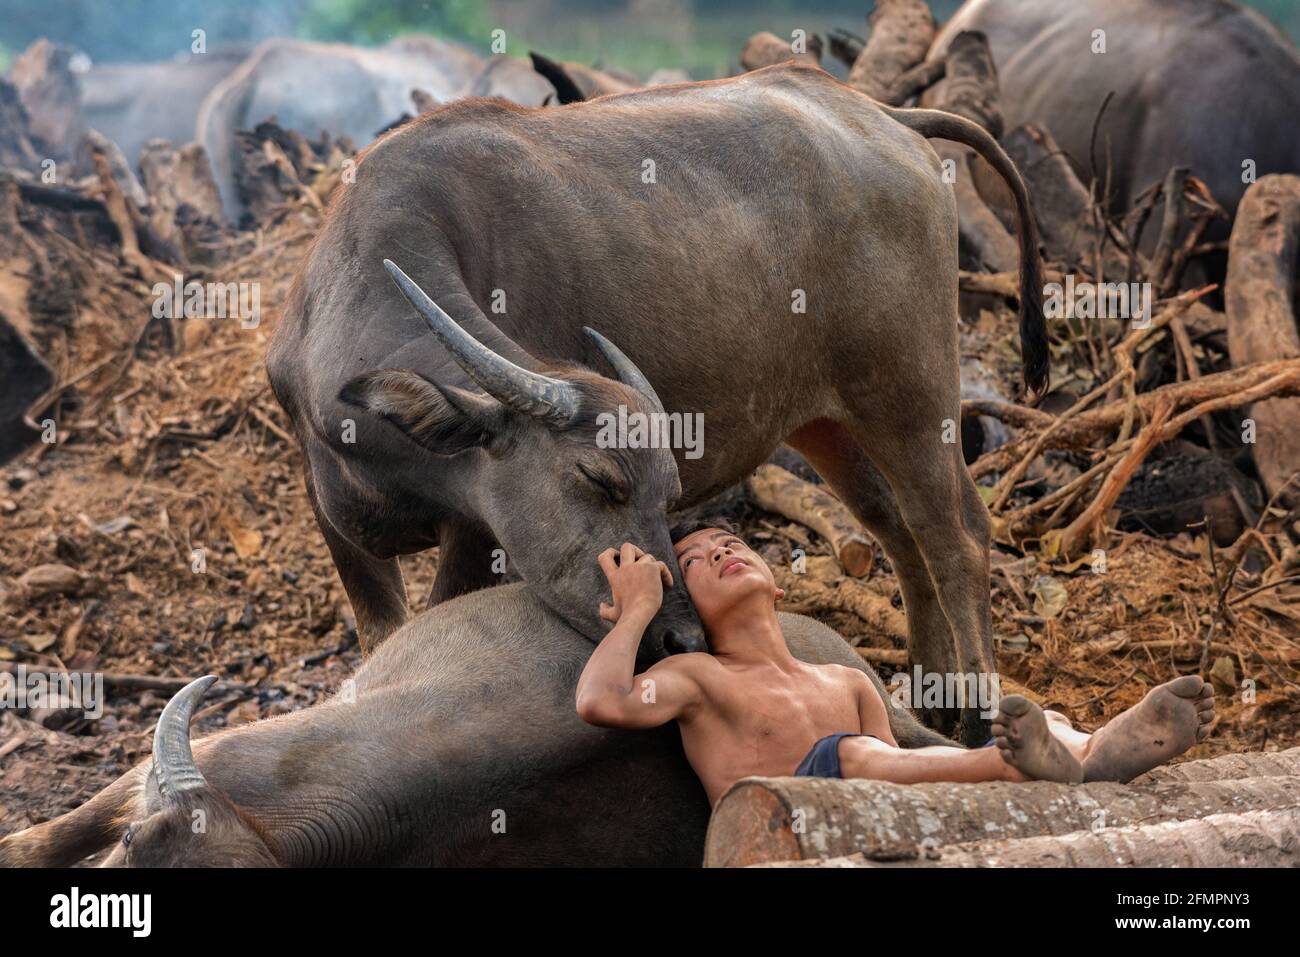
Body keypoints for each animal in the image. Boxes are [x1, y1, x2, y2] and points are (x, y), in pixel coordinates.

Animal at [269, 63, 1050, 743]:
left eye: (667, 492)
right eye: (598, 478)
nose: (681, 635)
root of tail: (884, 116)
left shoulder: (473, 534)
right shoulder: (337, 526)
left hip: (909, 391)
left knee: (954, 533)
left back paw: (977, 716)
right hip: (826, 418)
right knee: (896, 528)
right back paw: (931, 695)